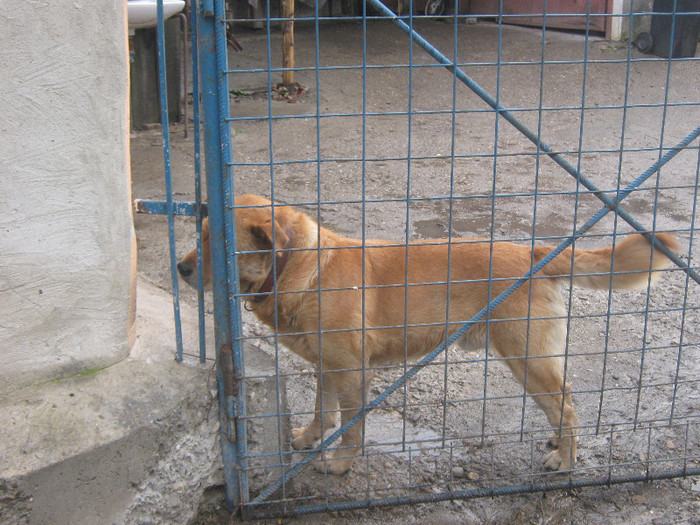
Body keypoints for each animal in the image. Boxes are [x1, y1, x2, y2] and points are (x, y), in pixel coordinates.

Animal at [178, 193, 680, 474]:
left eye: (213, 242)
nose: (180, 269)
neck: (298, 267)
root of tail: (534, 253)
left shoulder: (353, 374)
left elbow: (352, 430)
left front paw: (340, 465)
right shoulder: (328, 368)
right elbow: (324, 412)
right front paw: (309, 437)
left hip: (527, 359)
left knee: (569, 405)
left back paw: (567, 459)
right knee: (563, 405)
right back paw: (559, 443)